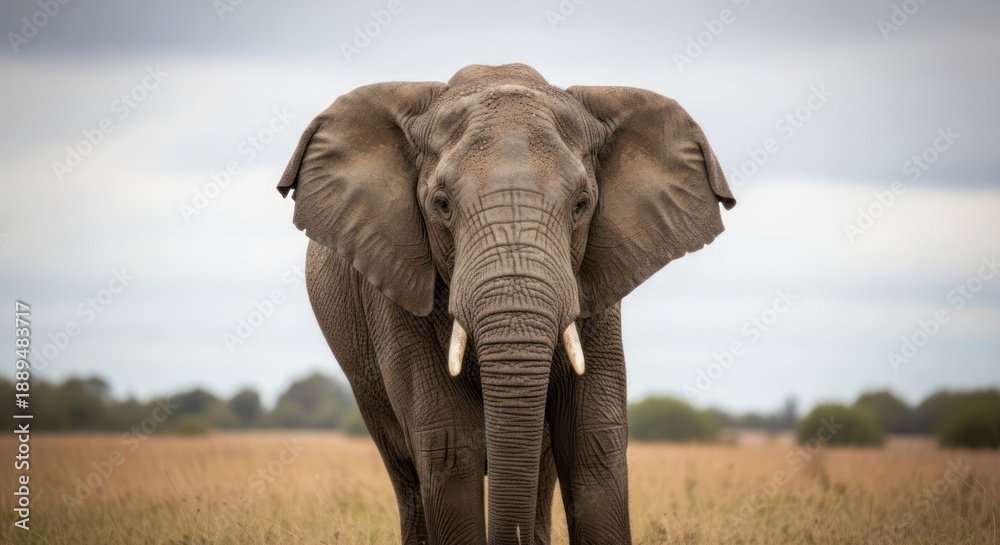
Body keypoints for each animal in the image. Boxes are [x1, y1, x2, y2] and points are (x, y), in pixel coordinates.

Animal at [277, 63, 734, 544]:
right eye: (441, 204)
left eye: (582, 205)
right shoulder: (392, 287)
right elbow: (449, 445)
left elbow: (592, 441)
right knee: (407, 472)